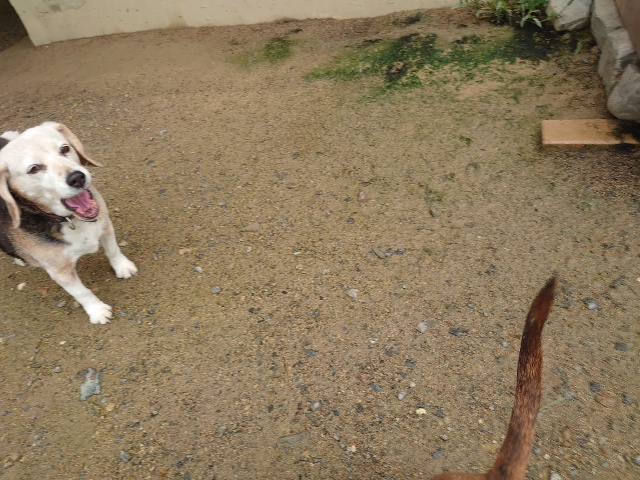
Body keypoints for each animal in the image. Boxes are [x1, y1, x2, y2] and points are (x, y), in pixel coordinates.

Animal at [0, 121, 137, 324]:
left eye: (64, 148)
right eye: (34, 169)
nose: (77, 177)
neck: (68, 220)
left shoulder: (105, 225)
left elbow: (113, 250)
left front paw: (123, 267)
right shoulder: (60, 272)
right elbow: (82, 293)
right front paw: (97, 311)